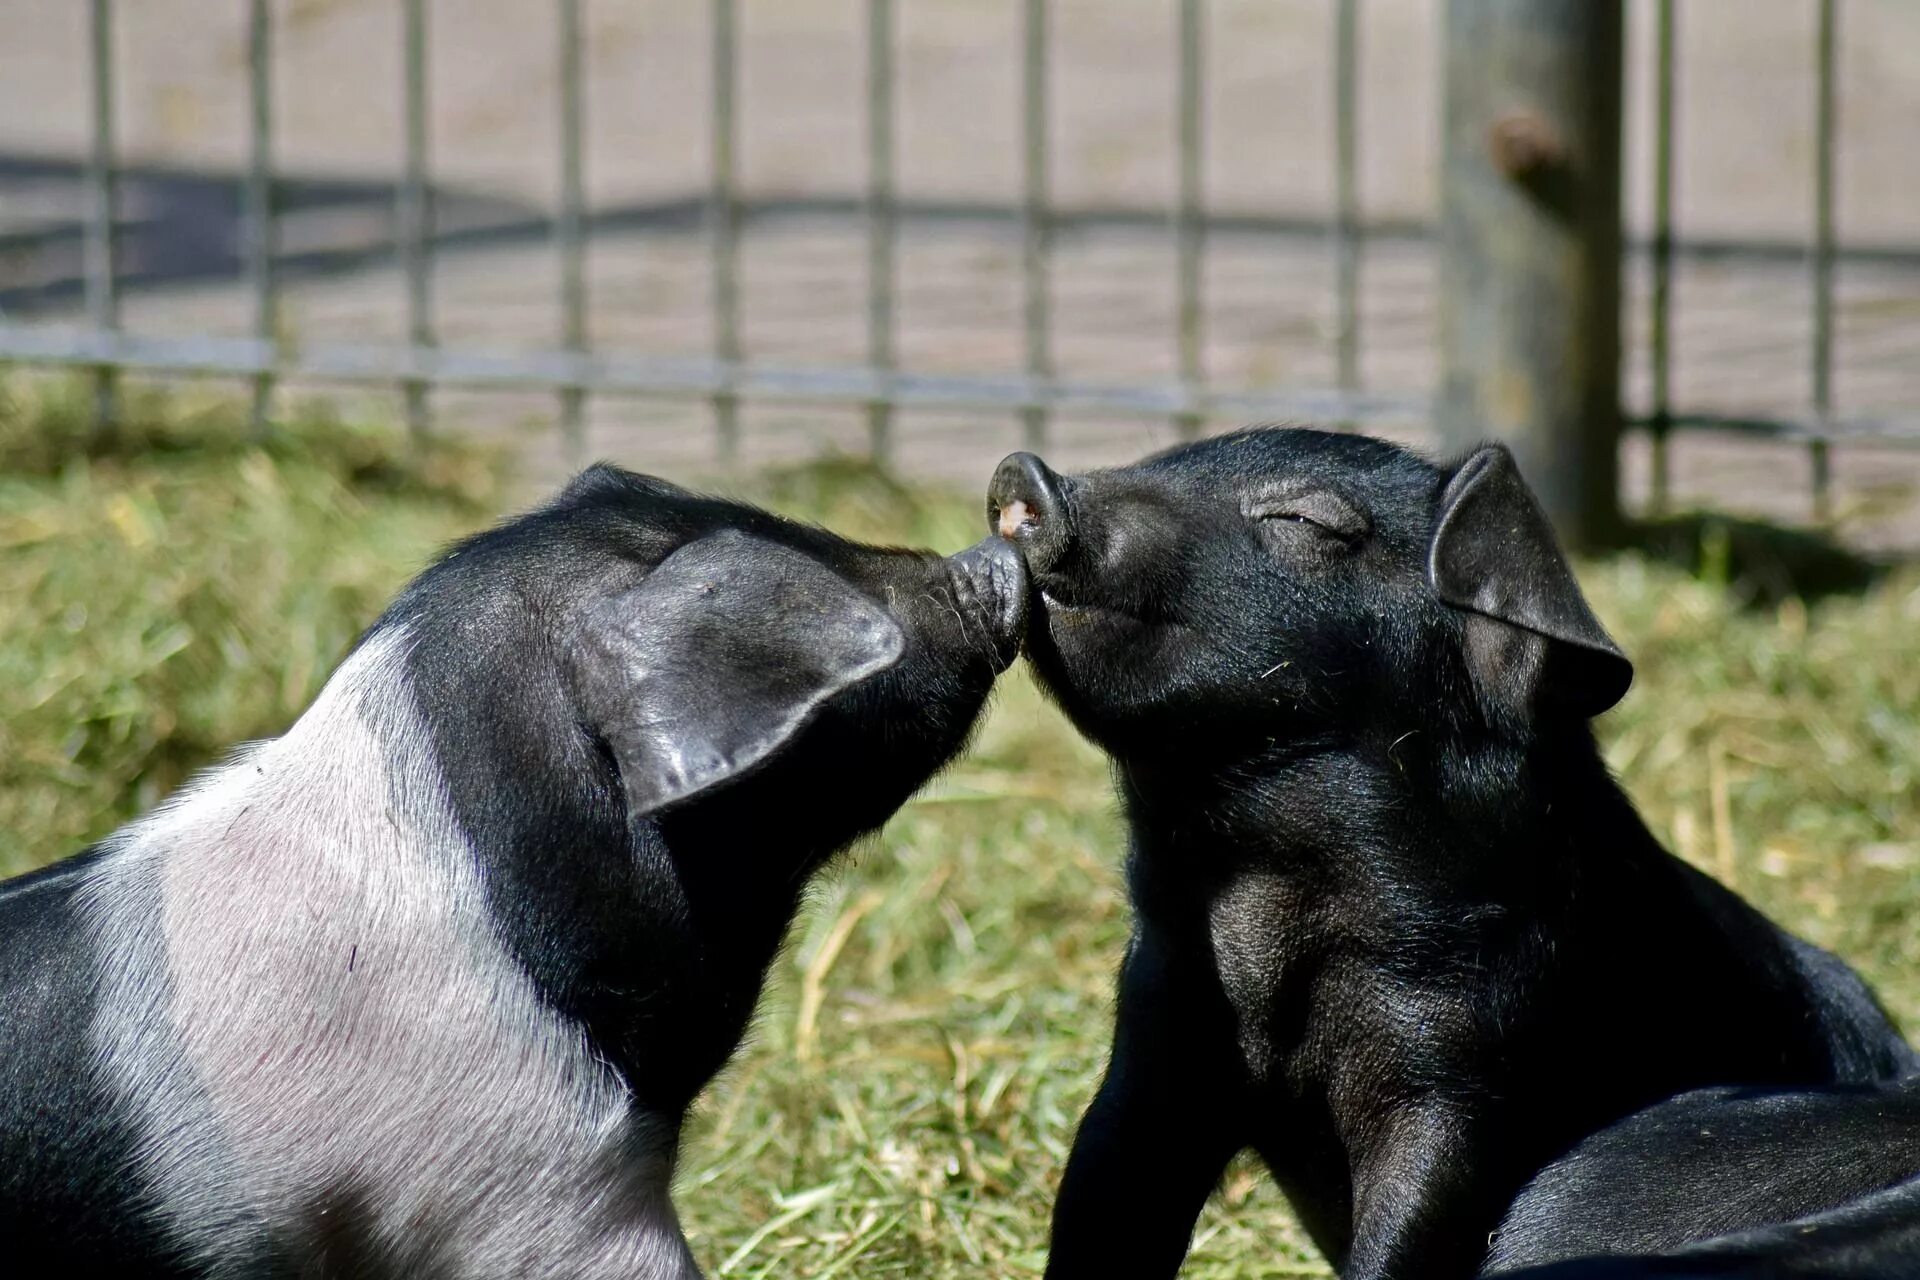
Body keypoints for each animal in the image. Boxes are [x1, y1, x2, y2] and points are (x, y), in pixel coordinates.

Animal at [983, 427, 1912, 1280]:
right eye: (1168, 455)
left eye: (1302, 519)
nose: (1026, 472)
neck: (1268, 904)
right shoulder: (1162, 1023)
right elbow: (1104, 1194)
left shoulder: (1470, 1057)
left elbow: (1417, 1214)